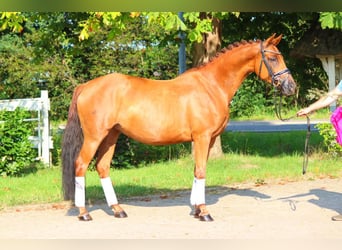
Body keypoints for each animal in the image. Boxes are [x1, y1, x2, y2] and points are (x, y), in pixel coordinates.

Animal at [61, 32, 296, 221]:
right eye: (272, 58)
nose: (291, 87)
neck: (211, 85)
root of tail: (85, 86)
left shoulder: (208, 139)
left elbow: (197, 169)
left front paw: (196, 210)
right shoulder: (202, 137)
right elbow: (201, 170)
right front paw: (205, 212)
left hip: (112, 136)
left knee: (102, 167)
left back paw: (118, 210)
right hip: (94, 137)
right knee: (81, 165)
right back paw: (84, 213)